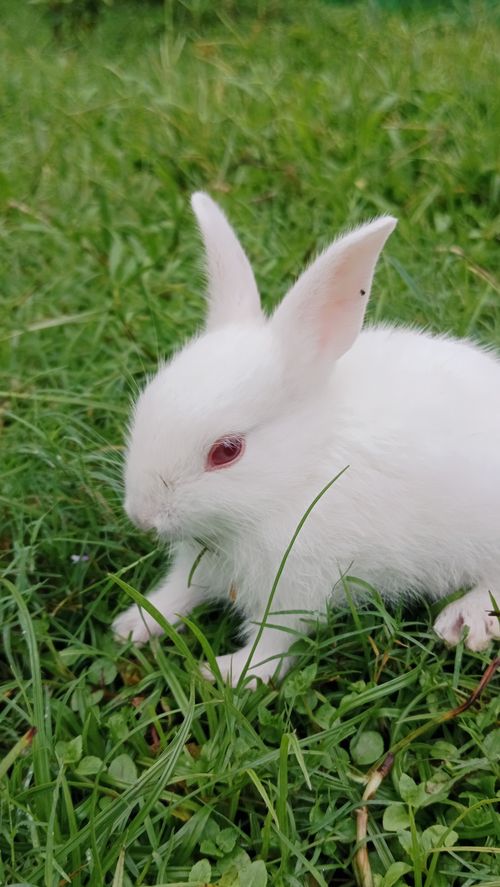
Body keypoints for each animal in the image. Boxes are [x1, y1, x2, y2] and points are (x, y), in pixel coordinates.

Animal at [113, 192, 500, 687]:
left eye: (226, 451)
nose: (142, 517)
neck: (302, 470)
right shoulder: (202, 564)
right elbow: (177, 593)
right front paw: (133, 625)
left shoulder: (297, 583)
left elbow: (273, 640)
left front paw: (228, 675)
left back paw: (464, 621)